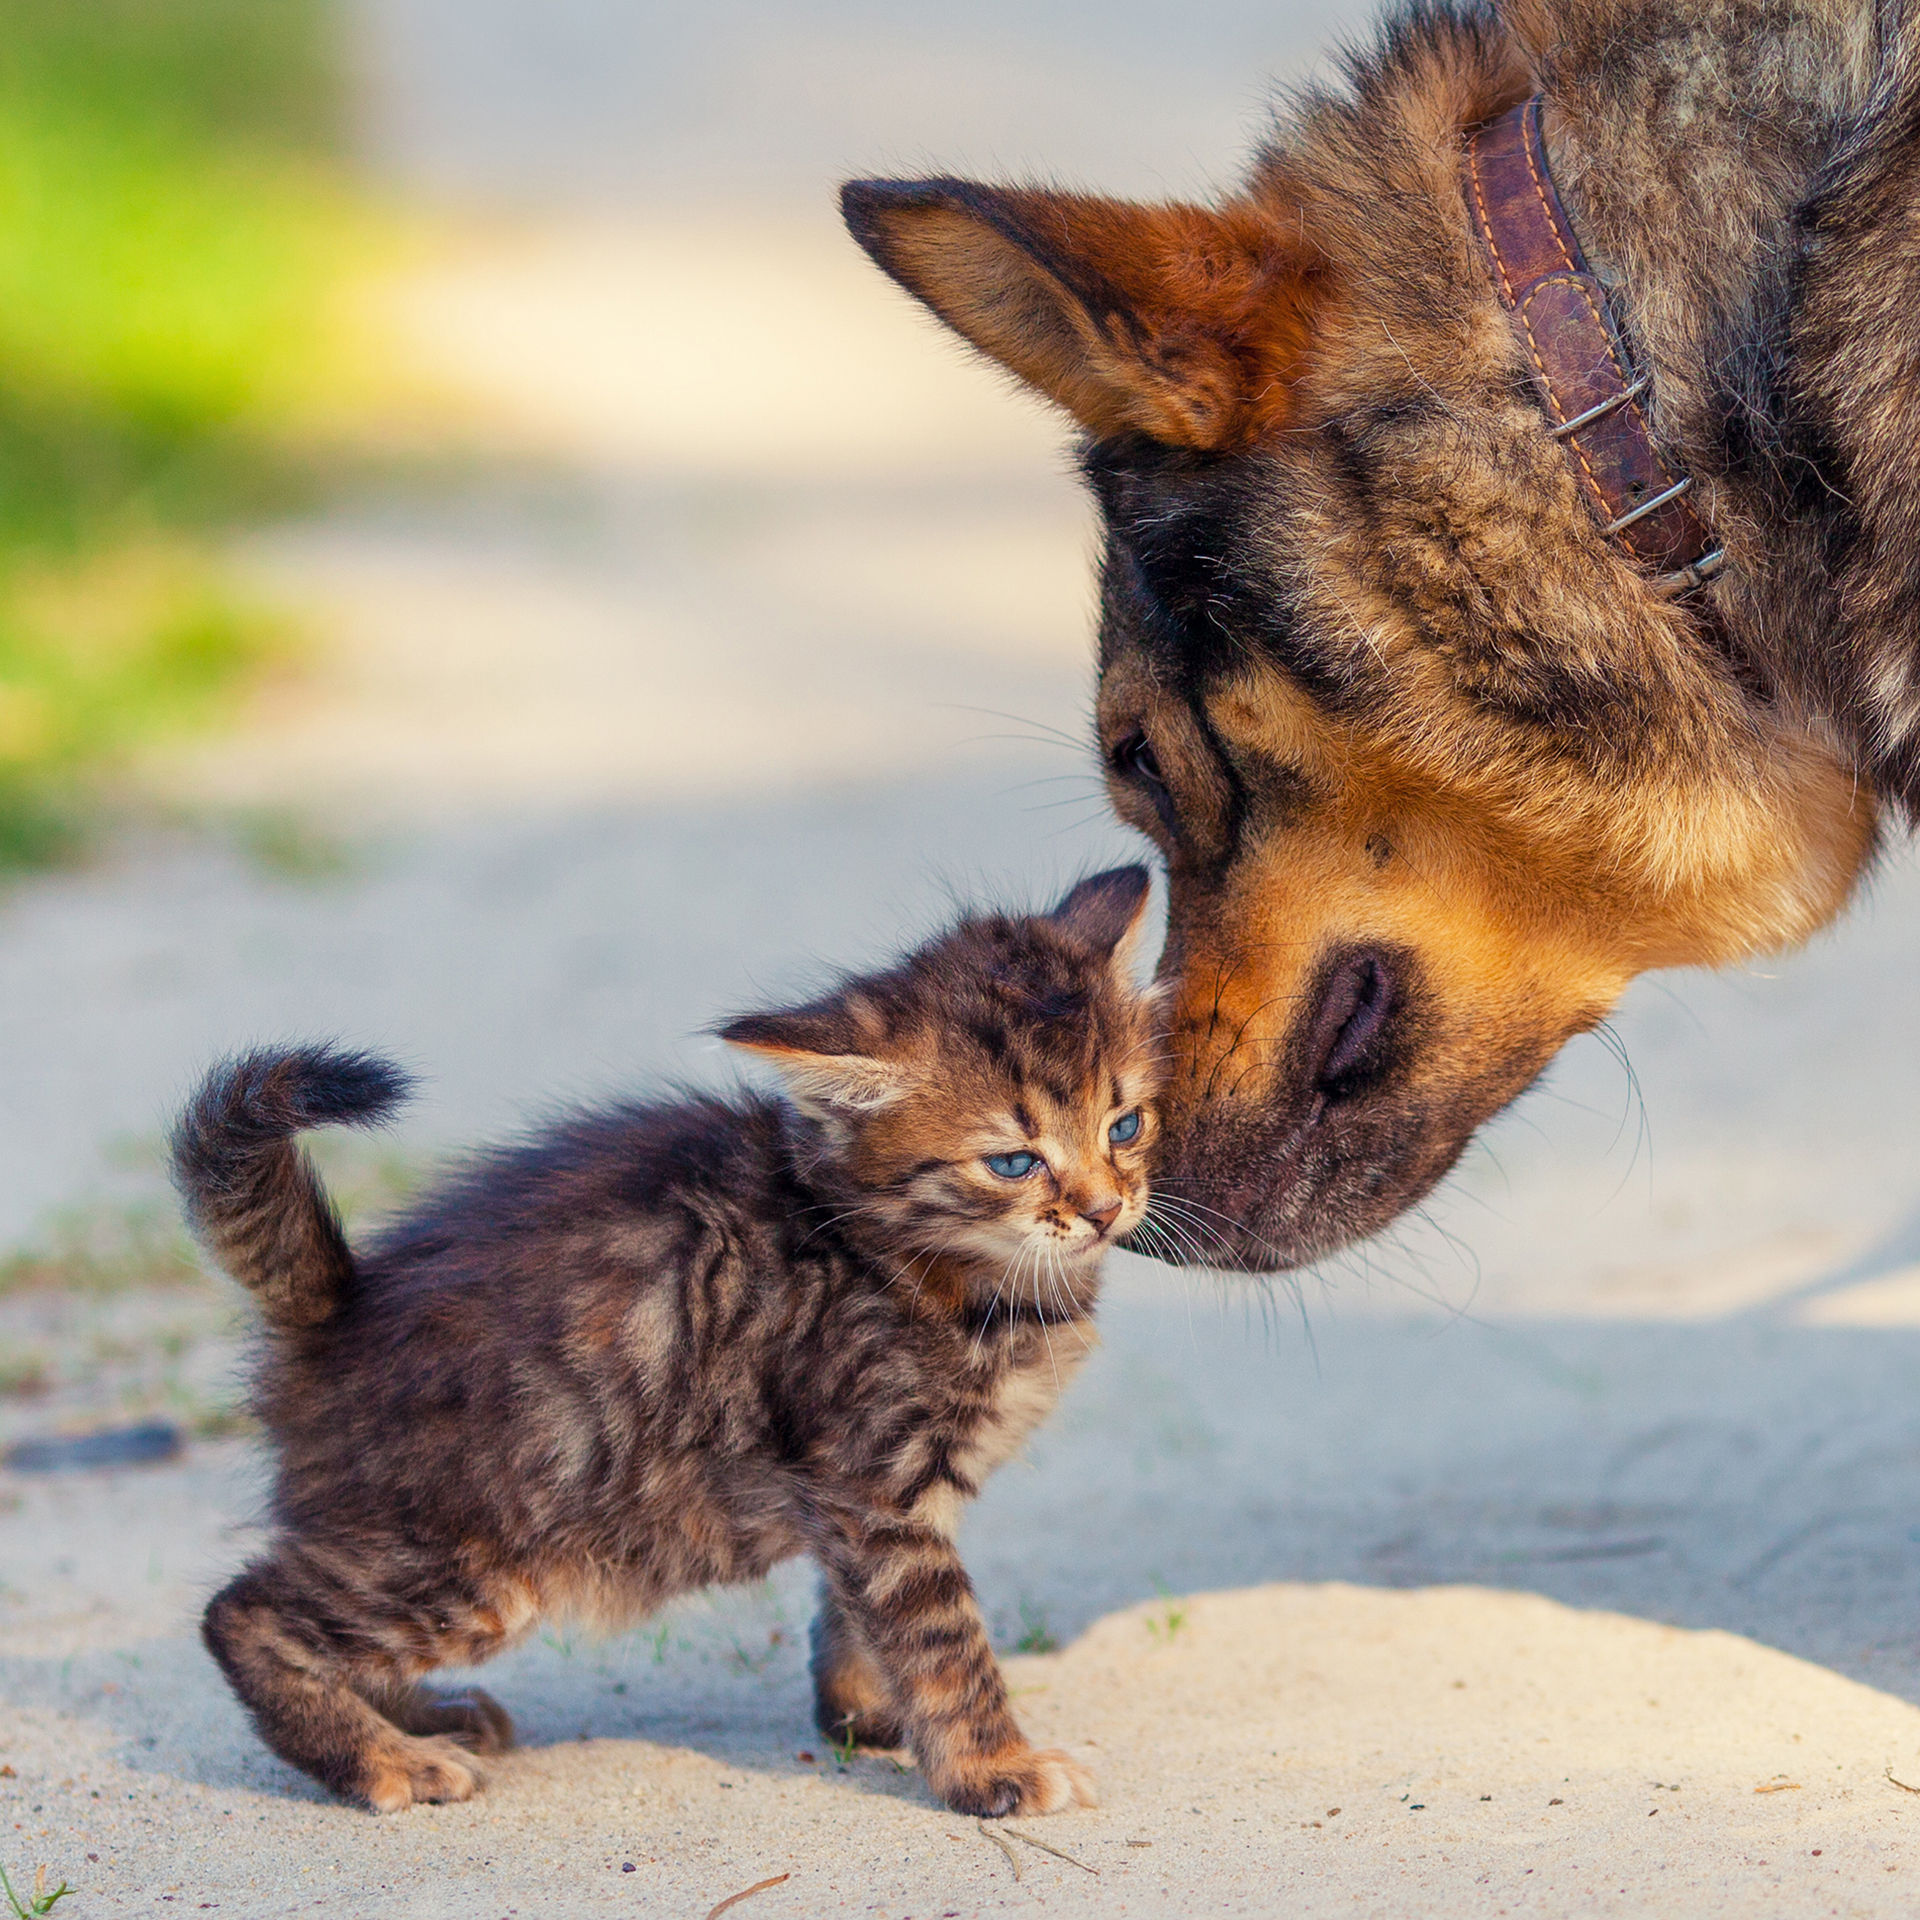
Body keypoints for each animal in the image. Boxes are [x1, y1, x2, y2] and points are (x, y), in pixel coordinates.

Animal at [180, 867, 1159, 1812]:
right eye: (1013, 1163)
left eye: (1125, 1126)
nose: (1105, 1210)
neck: (894, 1249)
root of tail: (342, 1303)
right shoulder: (873, 1481)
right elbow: (941, 1637)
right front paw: (995, 1768)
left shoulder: (863, 1499)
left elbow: (855, 1613)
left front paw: (865, 1715)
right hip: (470, 1562)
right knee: (243, 1615)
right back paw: (388, 1760)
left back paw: (428, 1717)